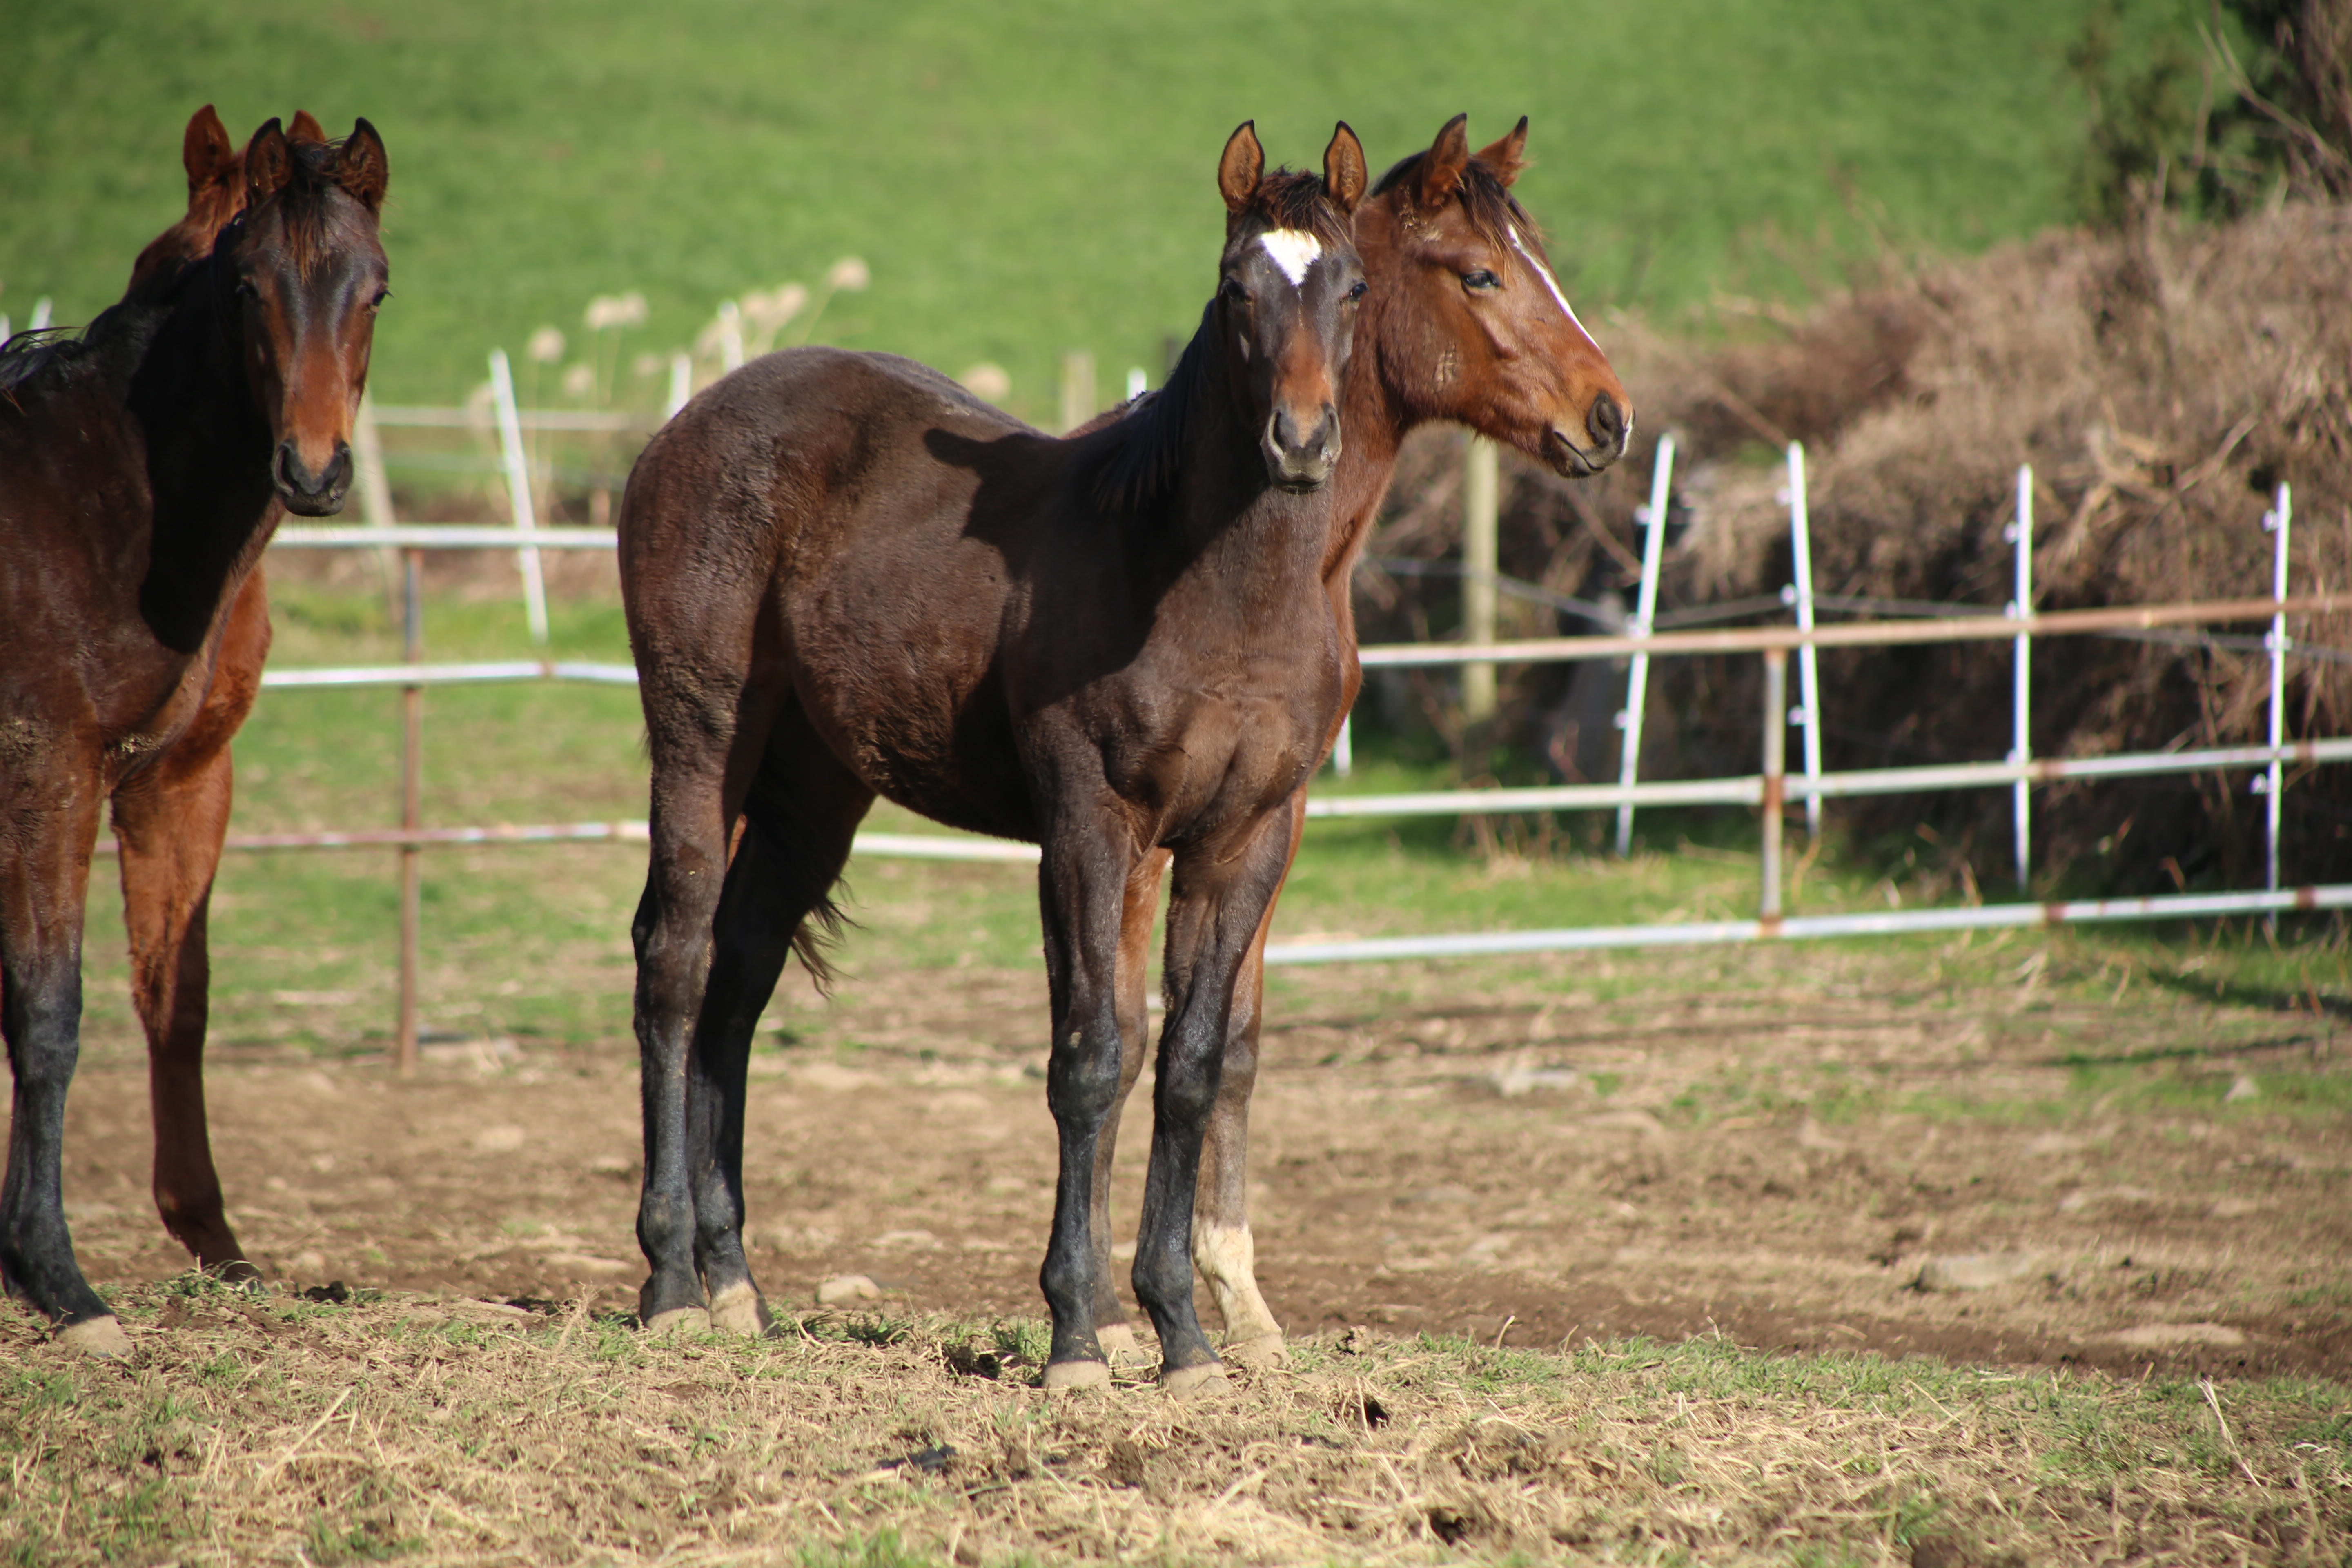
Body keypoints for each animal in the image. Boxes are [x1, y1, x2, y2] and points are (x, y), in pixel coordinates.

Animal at [0, 116, 390, 1354]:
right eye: (250, 288)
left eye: (375, 288)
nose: (313, 468)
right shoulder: (49, 773)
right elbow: (47, 1010)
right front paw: (58, 1279)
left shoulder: (176, 780)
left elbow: (175, 995)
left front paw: (215, 1243)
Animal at [616, 126, 1373, 1401]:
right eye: (1236, 289)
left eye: (1353, 287)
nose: (1302, 442)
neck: (1205, 587)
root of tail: (680, 428)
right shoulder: (1089, 824)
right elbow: (1092, 1055)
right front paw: (1076, 1337)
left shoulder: (1243, 839)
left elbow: (1190, 1064)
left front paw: (1183, 1336)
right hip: (703, 737)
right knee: (673, 962)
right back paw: (671, 1283)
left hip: (813, 787)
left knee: (737, 978)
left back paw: (735, 1288)